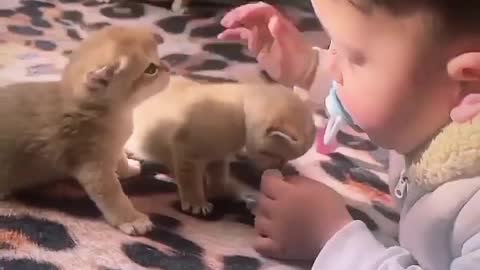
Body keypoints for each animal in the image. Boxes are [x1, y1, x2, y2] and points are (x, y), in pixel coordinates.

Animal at [0, 26, 171, 235]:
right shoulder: (94, 169)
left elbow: (120, 157)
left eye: (159, 57)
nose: (168, 67)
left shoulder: (113, 147)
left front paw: (128, 167)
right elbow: (114, 196)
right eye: (151, 69)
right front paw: (132, 219)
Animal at [125, 75, 316, 216]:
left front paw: (230, 192)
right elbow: (189, 179)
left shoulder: (218, 155)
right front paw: (196, 201)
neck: (241, 110)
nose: (281, 167)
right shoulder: (187, 151)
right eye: (279, 157)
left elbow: (219, 179)